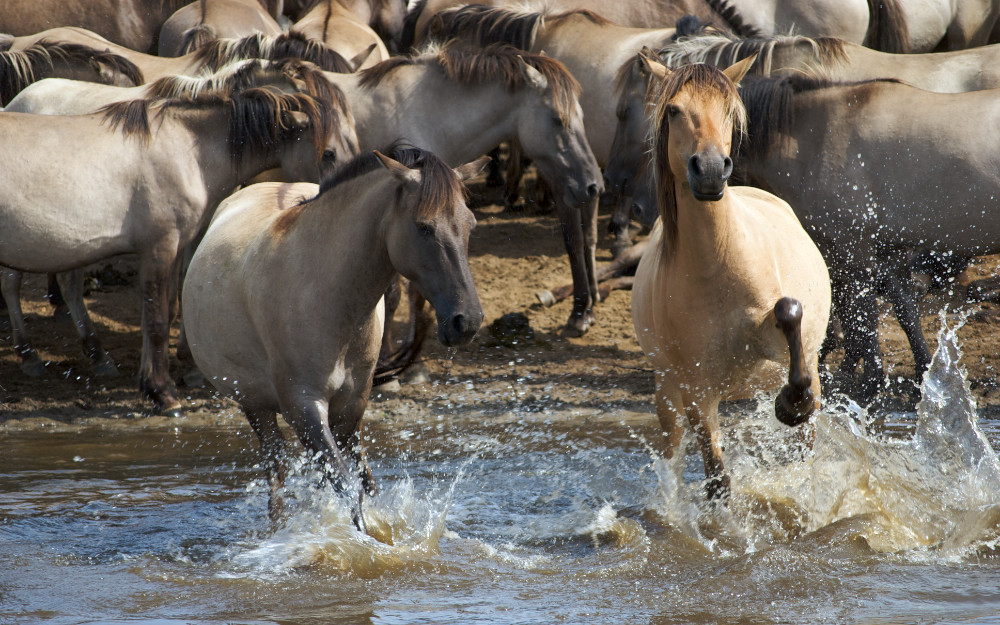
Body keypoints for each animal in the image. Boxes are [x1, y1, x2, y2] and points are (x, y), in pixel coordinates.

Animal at [0, 85, 360, 414]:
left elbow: (166, 312)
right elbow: (157, 321)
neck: (188, 151)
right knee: (16, 286)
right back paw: (32, 355)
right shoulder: (160, 247)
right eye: (329, 153)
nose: (342, 199)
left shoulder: (172, 250)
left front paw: (153, 383)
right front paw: (162, 393)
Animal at [183, 145, 488, 528]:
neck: (325, 290)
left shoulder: (350, 409)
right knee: (276, 470)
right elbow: (347, 488)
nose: (468, 321)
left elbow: (365, 483)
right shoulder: (304, 408)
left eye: (470, 224)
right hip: (254, 405)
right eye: (423, 227)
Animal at [628, 57, 832, 498]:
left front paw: (791, 404)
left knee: (806, 442)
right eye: (674, 110)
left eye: (729, 110)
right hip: (668, 396)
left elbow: (790, 312)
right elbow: (718, 478)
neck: (718, 267)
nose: (708, 169)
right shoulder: (696, 393)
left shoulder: (775, 335)